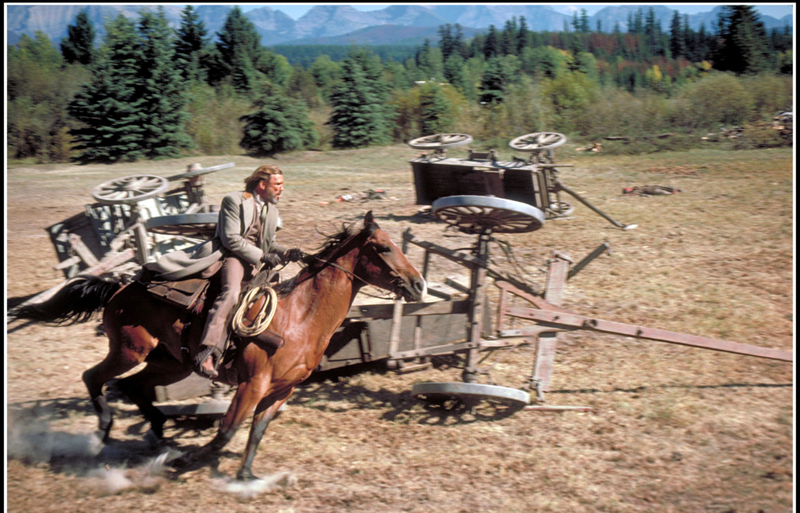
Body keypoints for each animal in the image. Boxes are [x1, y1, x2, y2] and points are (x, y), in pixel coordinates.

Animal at [14, 211, 424, 480]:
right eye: (383, 248)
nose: (418, 284)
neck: (300, 317)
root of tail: (119, 286)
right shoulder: (252, 384)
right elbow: (226, 430)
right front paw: (185, 463)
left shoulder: (282, 390)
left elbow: (256, 431)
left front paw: (246, 476)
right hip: (130, 350)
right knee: (94, 377)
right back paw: (104, 432)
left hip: (171, 362)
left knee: (134, 386)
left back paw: (159, 435)